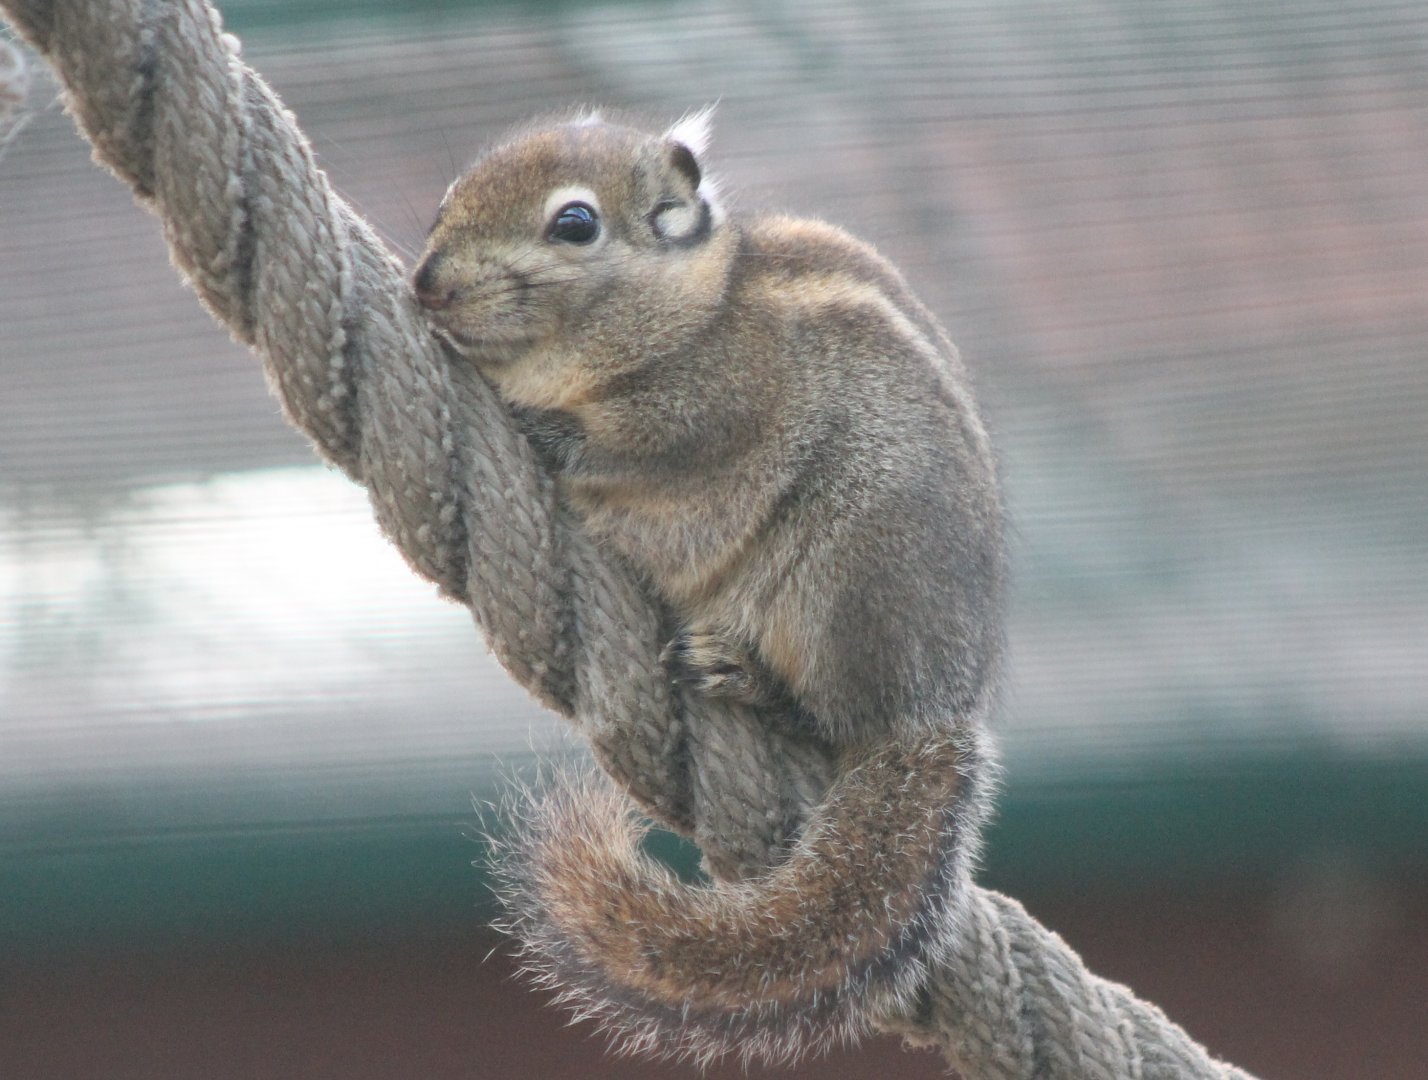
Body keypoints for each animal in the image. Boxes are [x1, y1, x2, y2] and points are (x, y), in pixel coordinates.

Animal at [412, 109, 1006, 1064]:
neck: (693, 306)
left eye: (574, 223)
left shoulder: (712, 404)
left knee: (827, 710)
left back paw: (748, 677)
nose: (426, 282)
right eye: (448, 199)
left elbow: (636, 448)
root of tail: (931, 711)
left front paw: (548, 428)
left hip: (842, 572)